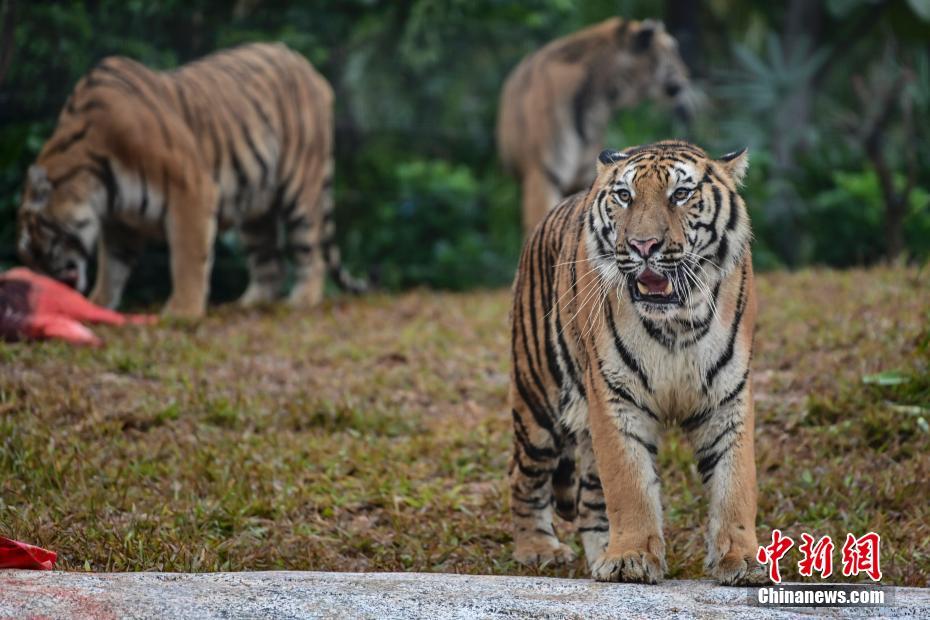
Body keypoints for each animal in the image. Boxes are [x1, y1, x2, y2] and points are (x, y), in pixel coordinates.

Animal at [17, 42, 362, 320]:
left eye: (36, 241)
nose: (45, 285)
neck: (97, 185)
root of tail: (311, 70)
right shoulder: (121, 223)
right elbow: (111, 268)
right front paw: (97, 304)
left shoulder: (191, 190)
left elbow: (188, 258)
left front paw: (182, 313)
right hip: (254, 207)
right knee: (270, 265)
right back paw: (246, 304)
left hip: (299, 188)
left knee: (311, 253)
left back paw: (302, 300)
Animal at [504, 140, 764, 588]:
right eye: (625, 196)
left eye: (681, 194)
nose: (644, 246)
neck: (678, 321)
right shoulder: (615, 398)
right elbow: (629, 486)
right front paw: (631, 558)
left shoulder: (727, 400)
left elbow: (735, 485)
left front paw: (743, 560)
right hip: (539, 401)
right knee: (525, 476)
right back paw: (539, 549)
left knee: (589, 500)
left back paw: (597, 557)